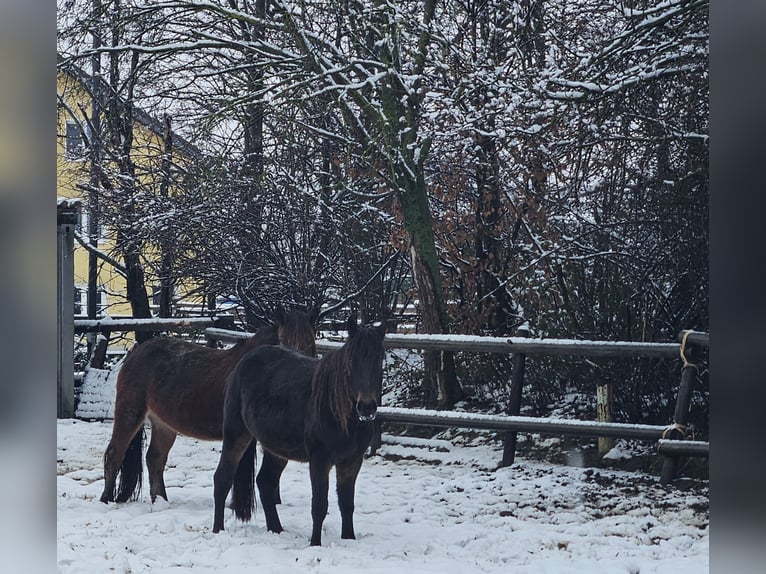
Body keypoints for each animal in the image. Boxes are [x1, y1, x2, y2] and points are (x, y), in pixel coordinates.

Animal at [100, 308, 316, 506]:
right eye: (283, 341)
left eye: (310, 342)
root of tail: (136, 351)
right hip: (129, 413)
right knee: (114, 455)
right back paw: (106, 499)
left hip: (163, 424)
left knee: (155, 459)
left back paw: (161, 501)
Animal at [213, 316, 388, 548]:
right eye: (352, 360)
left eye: (379, 359)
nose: (366, 407)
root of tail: (244, 362)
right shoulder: (319, 460)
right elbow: (320, 505)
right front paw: (315, 544)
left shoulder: (352, 461)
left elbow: (346, 504)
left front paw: (349, 539)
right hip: (236, 435)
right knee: (222, 479)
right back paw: (218, 530)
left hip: (276, 448)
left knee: (265, 482)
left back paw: (276, 530)